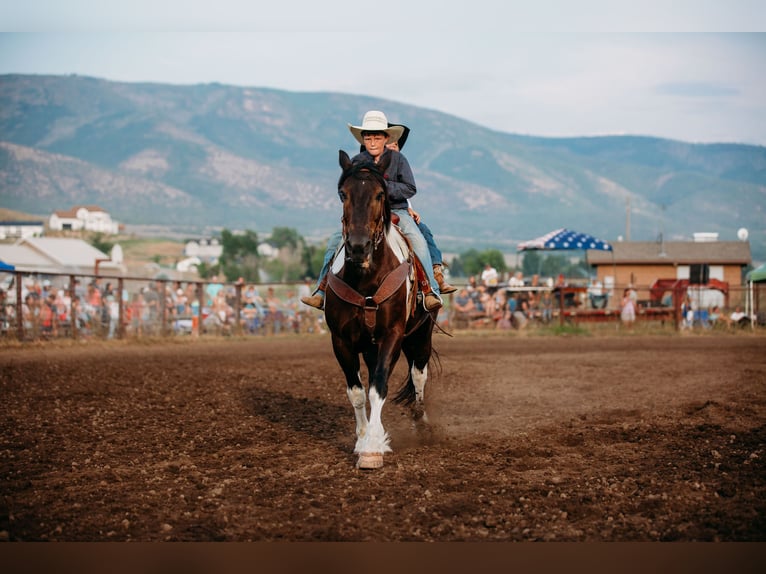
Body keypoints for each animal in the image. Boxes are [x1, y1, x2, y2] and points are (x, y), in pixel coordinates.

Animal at [324, 151, 438, 470]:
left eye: (379, 194)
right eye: (343, 194)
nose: (358, 247)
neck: (366, 279)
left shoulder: (392, 336)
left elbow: (379, 387)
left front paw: (373, 447)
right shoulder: (341, 341)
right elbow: (357, 392)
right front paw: (362, 439)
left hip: (421, 335)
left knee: (419, 375)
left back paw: (421, 423)